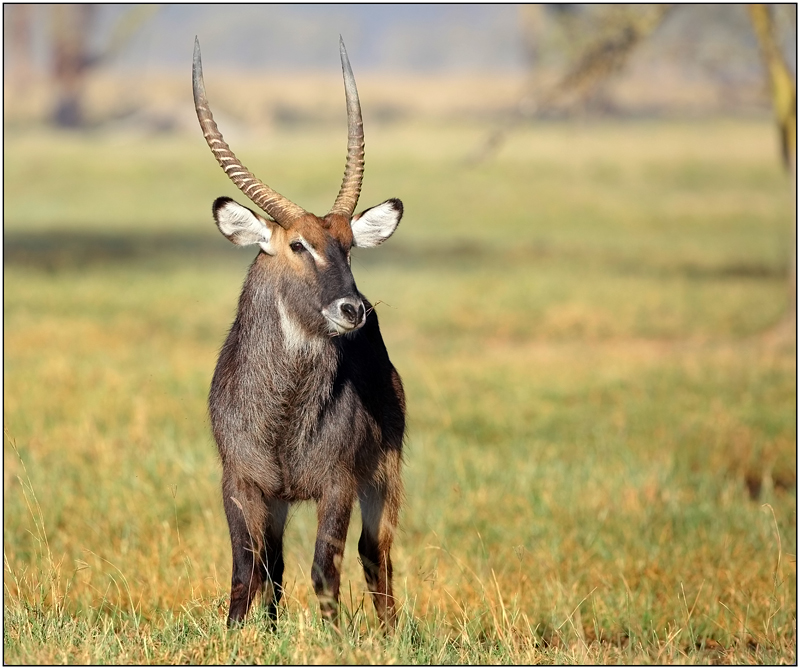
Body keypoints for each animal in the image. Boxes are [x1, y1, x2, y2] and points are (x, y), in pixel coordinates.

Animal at [193, 37, 406, 632]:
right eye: (298, 245)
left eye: (348, 247)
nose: (353, 310)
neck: (283, 416)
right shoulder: (241, 483)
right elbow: (248, 569)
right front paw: (237, 635)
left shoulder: (339, 483)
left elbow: (325, 568)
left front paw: (336, 638)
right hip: (282, 499)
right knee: (275, 564)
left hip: (384, 477)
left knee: (374, 552)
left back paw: (390, 633)